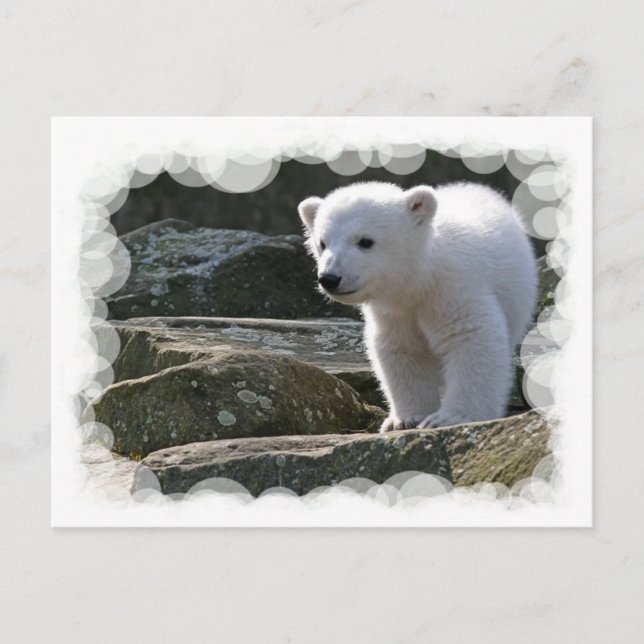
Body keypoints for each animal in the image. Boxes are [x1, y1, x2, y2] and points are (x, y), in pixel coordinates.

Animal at [298, 181, 537, 432]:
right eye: (322, 243)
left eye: (365, 241)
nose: (329, 278)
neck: (420, 277)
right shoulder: (394, 311)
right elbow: (401, 349)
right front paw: (405, 420)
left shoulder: (454, 287)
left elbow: (471, 337)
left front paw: (450, 417)